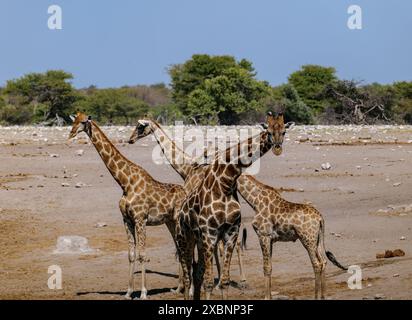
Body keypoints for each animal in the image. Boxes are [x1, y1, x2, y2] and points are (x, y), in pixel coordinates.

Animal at [68, 112, 185, 300]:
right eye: (73, 121)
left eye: (83, 122)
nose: (71, 134)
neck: (125, 183)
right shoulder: (126, 220)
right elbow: (131, 254)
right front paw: (129, 292)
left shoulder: (140, 219)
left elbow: (142, 254)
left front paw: (143, 292)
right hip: (170, 222)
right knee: (179, 247)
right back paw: (179, 287)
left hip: (180, 220)